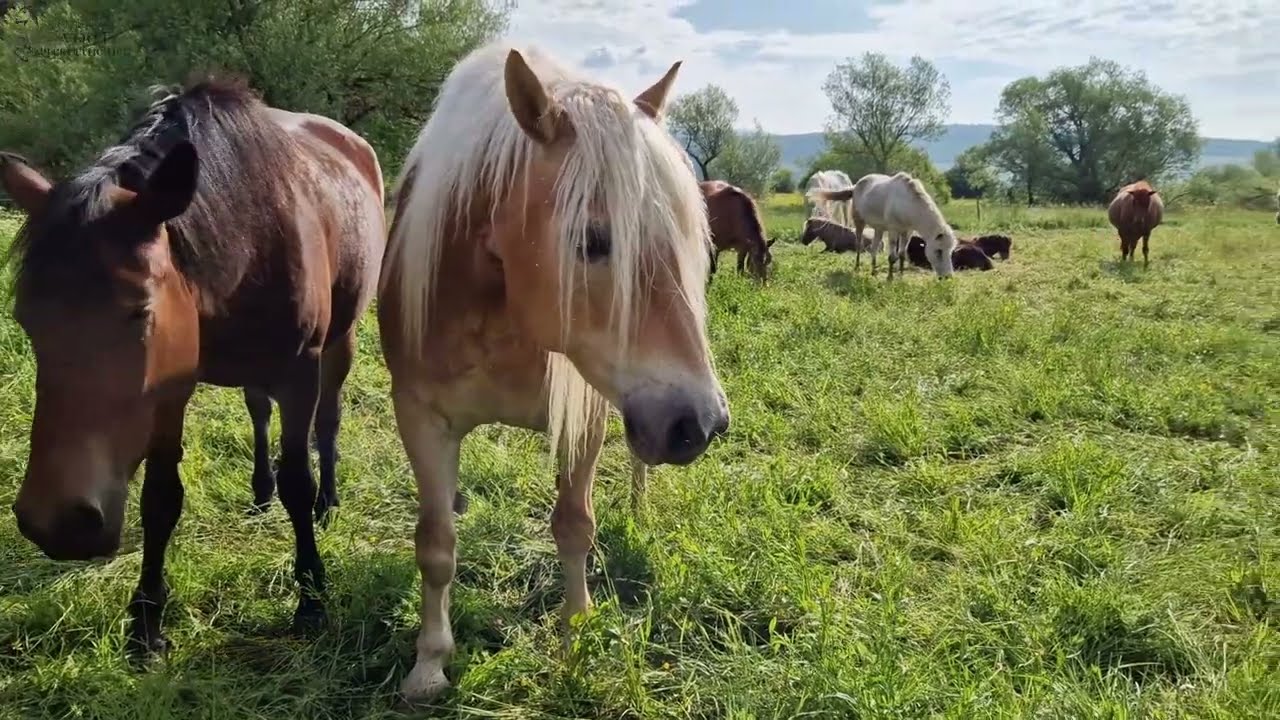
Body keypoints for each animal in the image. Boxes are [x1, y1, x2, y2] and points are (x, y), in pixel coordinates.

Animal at [1, 77, 386, 656]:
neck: (249, 238)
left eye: (140, 311)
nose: (57, 524)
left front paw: (312, 598)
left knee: (329, 419)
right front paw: (146, 620)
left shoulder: (299, 374)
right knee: (257, 409)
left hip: (340, 342)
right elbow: (160, 500)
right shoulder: (169, 389)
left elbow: (298, 480)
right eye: (26, 317)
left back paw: (328, 500)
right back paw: (260, 490)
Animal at [377, 42, 730, 704]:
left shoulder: (584, 416)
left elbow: (573, 527)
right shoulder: (420, 416)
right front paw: (429, 662)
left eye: (690, 243)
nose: (701, 423)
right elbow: (434, 543)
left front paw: (576, 638)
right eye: (592, 241)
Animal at [808, 171, 957, 279]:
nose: (948, 277)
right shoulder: (893, 231)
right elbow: (892, 257)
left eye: (950, 251)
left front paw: (900, 276)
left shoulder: (907, 232)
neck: (907, 203)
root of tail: (855, 186)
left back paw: (873, 271)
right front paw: (889, 278)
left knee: (873, 248)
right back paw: (857, 267)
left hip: (878, 229)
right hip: (859, 223)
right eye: (939, 251)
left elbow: (902, 254)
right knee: (859, 245)